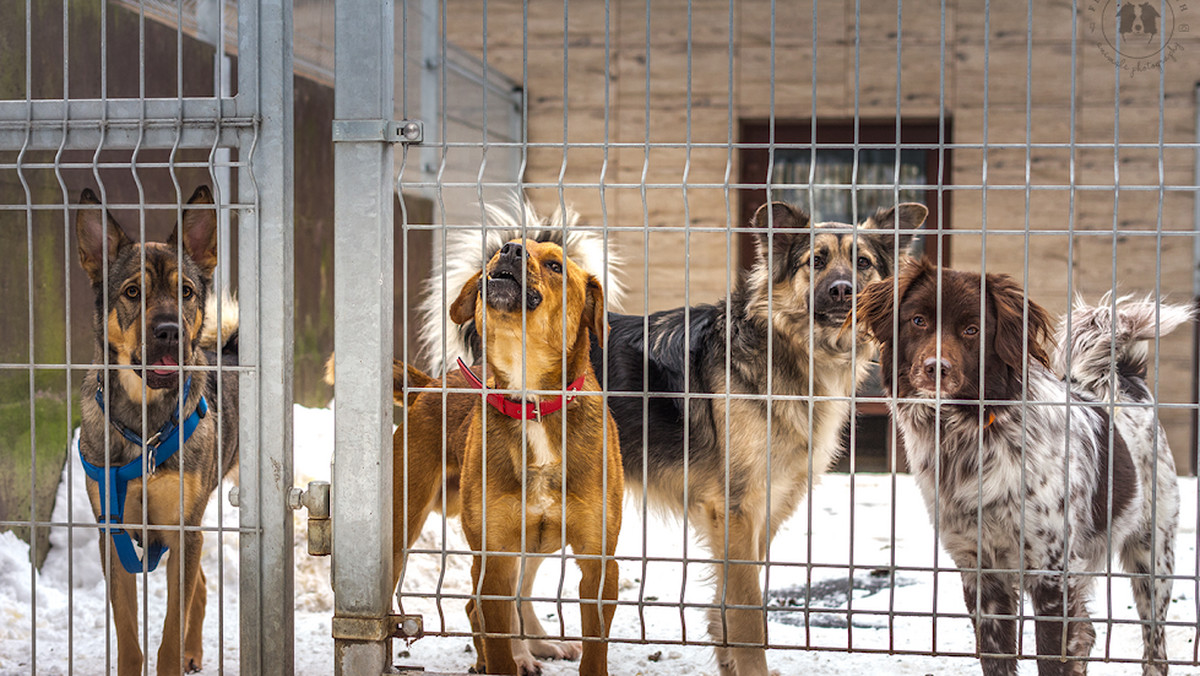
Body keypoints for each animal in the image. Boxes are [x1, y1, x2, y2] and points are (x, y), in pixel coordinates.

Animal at [75, 186, 238, 676]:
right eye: (133, 292)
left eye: (186, 292)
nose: (169, 332)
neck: (144, 426)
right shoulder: (113, 536)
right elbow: (128, 633)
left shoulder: (182, 529)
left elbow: (168, 632)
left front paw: (175, 654)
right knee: (200, 584)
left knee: (196, 589)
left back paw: (191, 652)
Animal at [388, 238, 624, 676]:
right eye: (503, 250)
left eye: (555, 265)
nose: (510, 250)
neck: (531, 401)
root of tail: (429, 386)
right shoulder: (494, 560)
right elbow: (496, 638)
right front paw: (503, 659)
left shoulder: (598, 564)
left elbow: (595, 652)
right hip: (400, 529)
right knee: (469, 605)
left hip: (531, 547)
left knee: (491, 602)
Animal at [854, 256, 1190, 672]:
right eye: (918, 320)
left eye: (972, 329)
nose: (936, 367)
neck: (970, 435)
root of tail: (1125, 379)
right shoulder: (981, 574)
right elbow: (998, 658)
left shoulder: (1051, 574)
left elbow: (1052, 659)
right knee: (1089, 634)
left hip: (1153, 556)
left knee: (1154, 648)